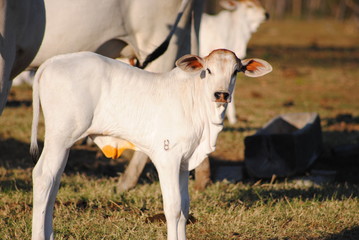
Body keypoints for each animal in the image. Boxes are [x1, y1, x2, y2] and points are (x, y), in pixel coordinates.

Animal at [31, 49, 272, 240]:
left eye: (235, 71)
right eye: (209, 70)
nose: (221, 94)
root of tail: (53, 62)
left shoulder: (184, 163)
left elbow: (185, 208)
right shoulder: (167, 158)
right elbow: (173, 208)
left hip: (64, 144)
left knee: (54, 181)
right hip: (58, 138)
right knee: (43, 176)